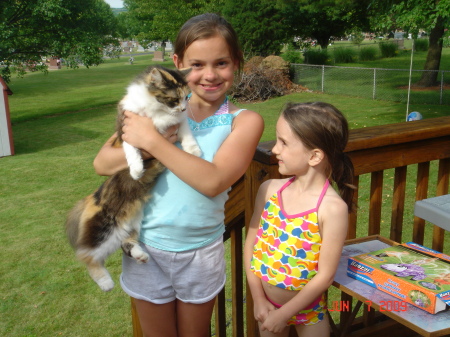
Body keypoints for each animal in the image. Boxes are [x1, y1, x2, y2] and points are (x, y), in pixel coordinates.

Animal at [65, 65, 200, 292]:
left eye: (186, 98)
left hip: (133, 225)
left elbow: (186, 131)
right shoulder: (128, 127)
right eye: (174, 99)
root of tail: (93, 197)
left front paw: (194, 151)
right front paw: (137, 170)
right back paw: (106, 283)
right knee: (87, 257)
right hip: (104, 231)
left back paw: (141, 256)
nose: (183, 108)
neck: (158, 110)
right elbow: (132, 150)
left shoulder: (178, 123)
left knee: (127, 243)